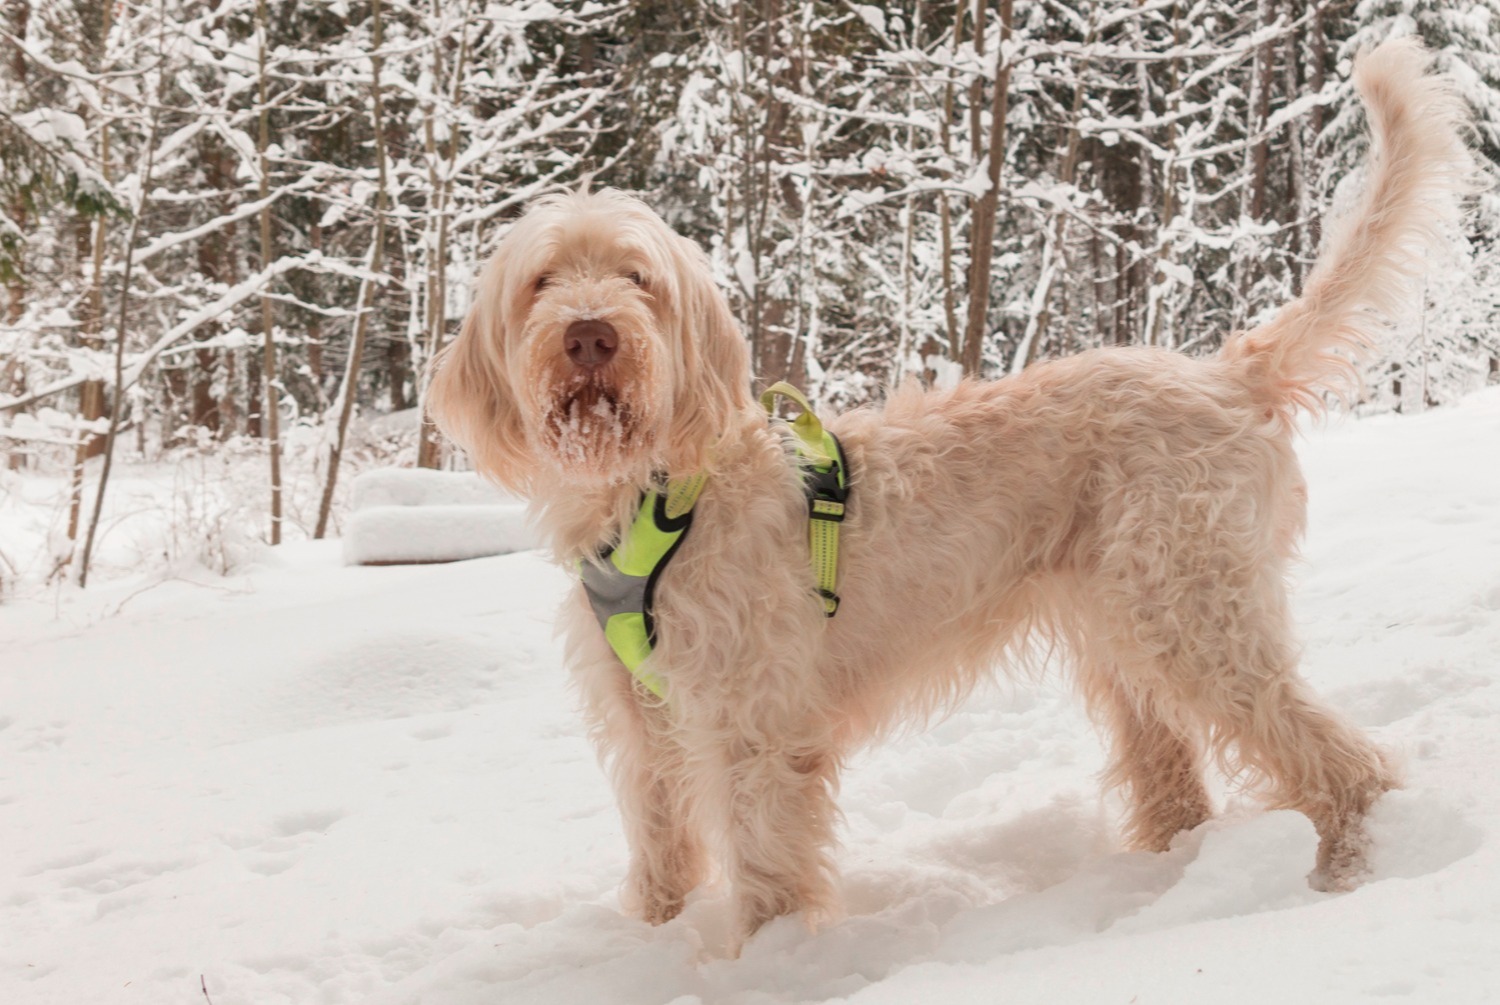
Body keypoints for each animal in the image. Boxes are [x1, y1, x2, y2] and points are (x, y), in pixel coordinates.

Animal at [426, 39, 1476, 954]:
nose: (591, 335)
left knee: (1337, 757)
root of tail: (1224, 372)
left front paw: (762, 963)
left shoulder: (754, 725)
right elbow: (660, 846)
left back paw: (1345, 867)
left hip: (1196, 615)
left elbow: (763, 862)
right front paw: (647, 936)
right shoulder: (644, 721)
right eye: (543, 280)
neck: (655, 495)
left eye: (637, 276)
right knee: (1178, 776)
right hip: (1126, 631)